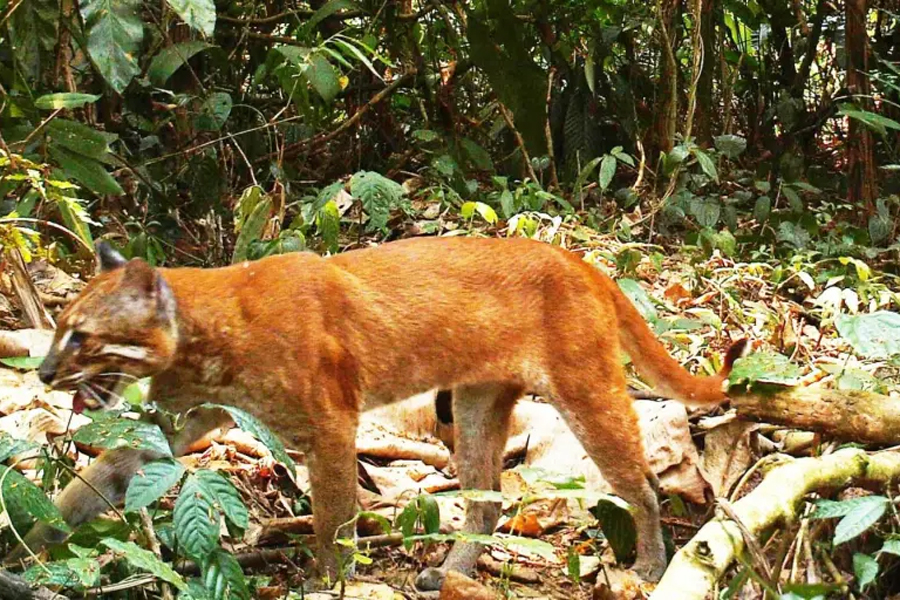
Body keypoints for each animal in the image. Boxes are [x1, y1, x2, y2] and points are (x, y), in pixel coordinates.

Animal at [21, 237, 744, 588]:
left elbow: (334, 516)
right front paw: (26, 544)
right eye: (57, 328)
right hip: (476, 405)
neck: (201, 339)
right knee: (486, 499)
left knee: (640, 481)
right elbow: (94, 483)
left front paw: (329, 581)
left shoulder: (331, 421)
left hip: (585, 389)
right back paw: (448, 573)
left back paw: (649, 568)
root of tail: (581, 261)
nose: (45, 372)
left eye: (80, 336)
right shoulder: (178, 424)